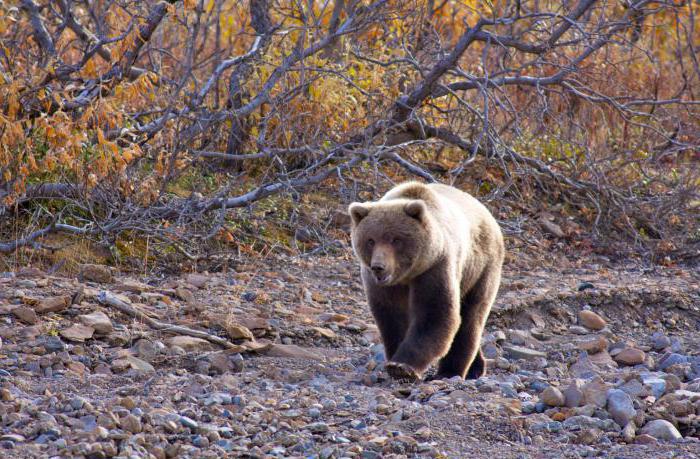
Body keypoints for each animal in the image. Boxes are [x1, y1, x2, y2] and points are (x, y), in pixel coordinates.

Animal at [348, 181, 504, 382]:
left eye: (396, 239)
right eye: (370, 240)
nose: (378, 267)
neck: (406, 275)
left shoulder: (435, 268)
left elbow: (435, 314)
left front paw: (402, 366)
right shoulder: (382, 286)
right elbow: (391, 317)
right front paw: (395, 361)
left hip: (481, 268)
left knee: (471, 316)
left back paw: (452, 371)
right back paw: (475, 368)